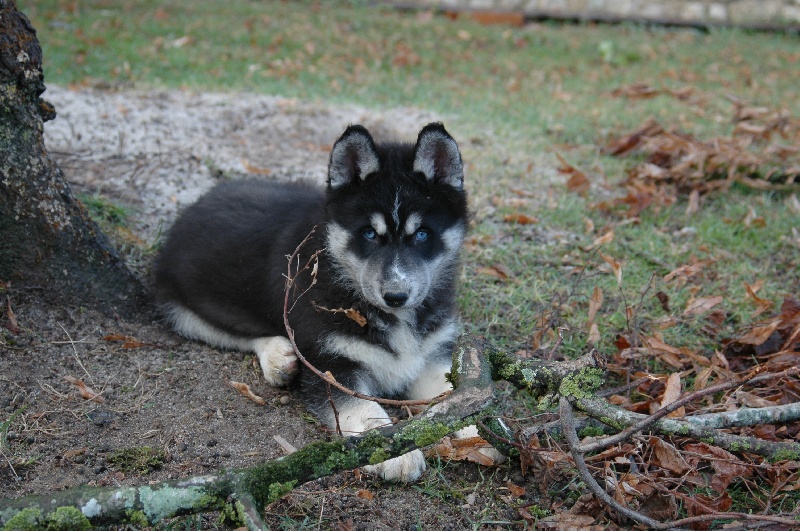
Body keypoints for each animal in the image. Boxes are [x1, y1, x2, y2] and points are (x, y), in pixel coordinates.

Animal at [153, 123, 468, 482]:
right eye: (369, 234)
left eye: (422, 234)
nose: (396, 296)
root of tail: (196, 202)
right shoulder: (330, 365)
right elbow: (365, 408)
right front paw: (395, 452)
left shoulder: (432, 355)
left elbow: (459, 394)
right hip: (186, 304)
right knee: (232, 331)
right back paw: (278, 356)